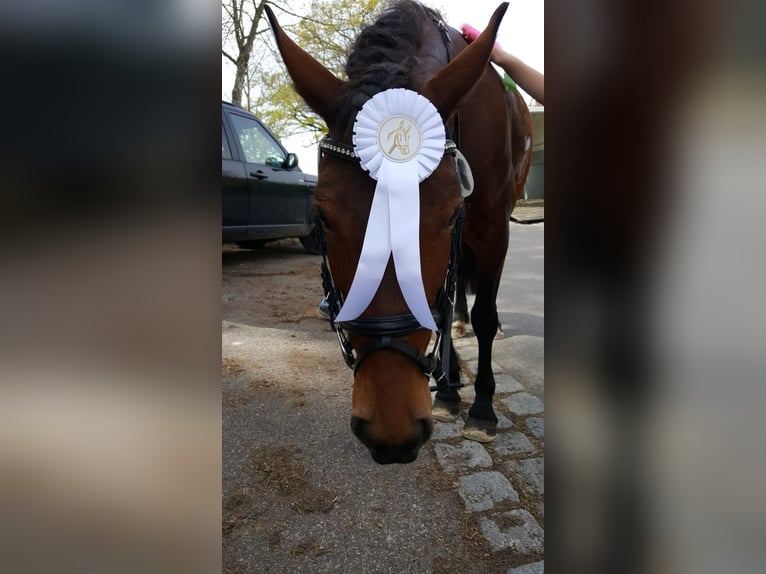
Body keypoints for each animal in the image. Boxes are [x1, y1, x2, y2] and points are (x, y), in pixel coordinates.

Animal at [265, 0, 532, 464]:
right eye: (323, 216)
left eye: (449, 213)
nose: (392, 431)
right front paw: (448, 392)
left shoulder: (492, 227)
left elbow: (482, 314)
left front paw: (482, 408)